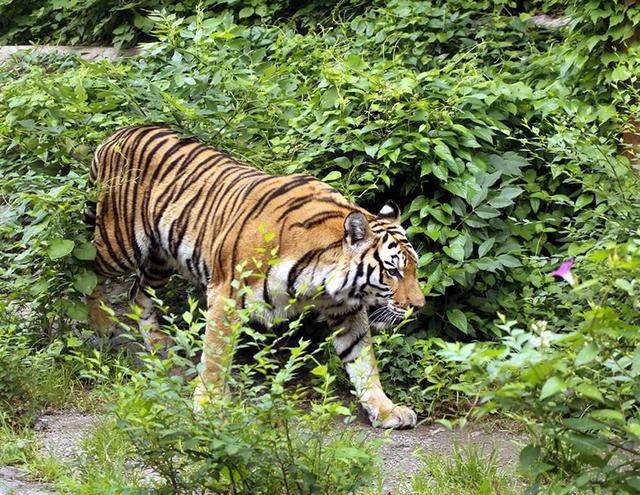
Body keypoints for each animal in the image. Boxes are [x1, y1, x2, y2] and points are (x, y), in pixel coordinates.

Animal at [85, 125, 424, 430]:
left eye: (414, 269)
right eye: (393, 271)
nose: (418, 306)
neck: (323, 277)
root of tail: (117, 134)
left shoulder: (346, 307)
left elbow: (362, 360)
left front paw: (385, 409)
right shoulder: (226, 294)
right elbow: (216, 354)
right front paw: (209, 404)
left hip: (159, 256)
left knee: (138, 292)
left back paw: (158, 342)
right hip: (119, 242)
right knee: (85, 270)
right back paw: (103, 326)